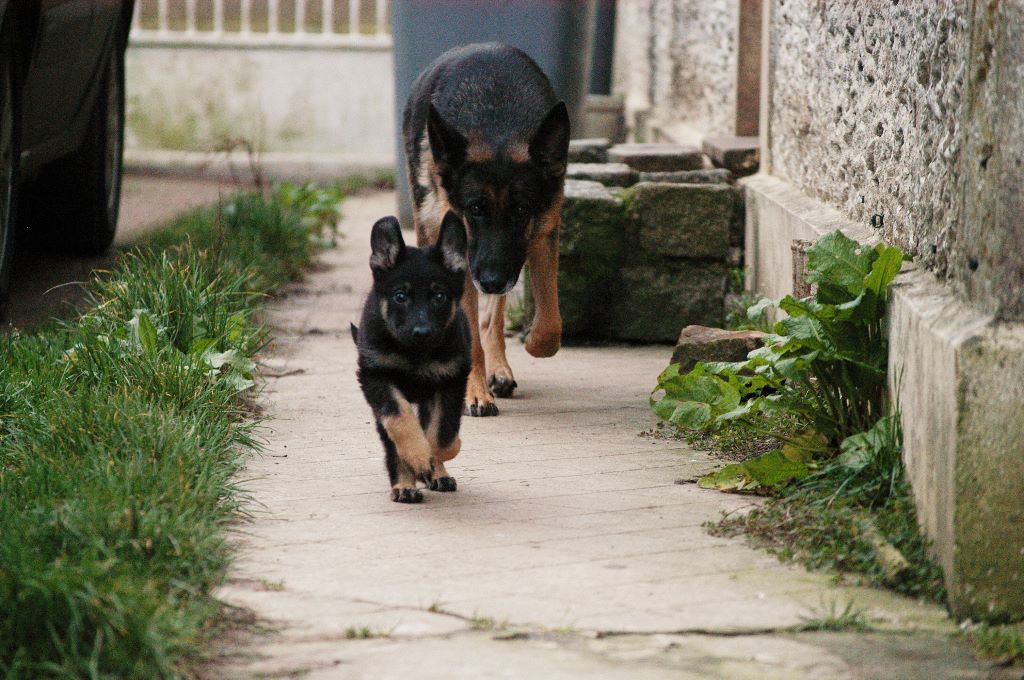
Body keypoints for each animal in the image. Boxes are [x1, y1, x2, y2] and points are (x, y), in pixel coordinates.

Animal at [352, 215, 471, 501]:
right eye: (400, 296)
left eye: (439, 296)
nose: (422, 332)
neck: (416, 353)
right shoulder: (376, 378)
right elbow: (400, 421)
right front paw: (416, 457)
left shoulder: (451, 381)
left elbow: (443, 434)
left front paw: (439, 457)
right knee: (393, 439)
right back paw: (405, 485)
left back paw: (437, 475)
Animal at [403, 42, 573, 417]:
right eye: (475, 209)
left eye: (522, 210)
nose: (492, 280)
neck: (498, 127)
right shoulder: (464, 259)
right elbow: (469, 338)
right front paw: (473, 392)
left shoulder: (542, 235)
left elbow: (551, 323)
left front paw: (534, 343)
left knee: (491, 319)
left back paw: (499, 369)